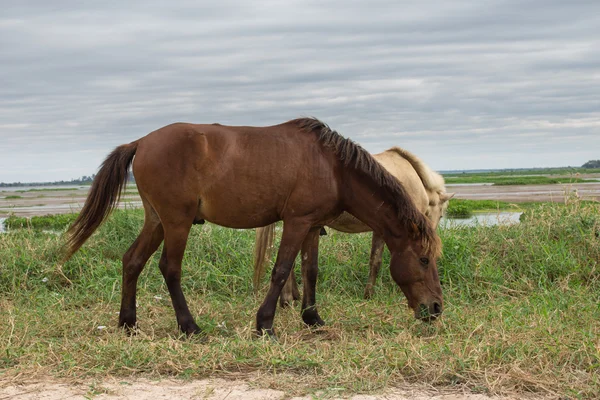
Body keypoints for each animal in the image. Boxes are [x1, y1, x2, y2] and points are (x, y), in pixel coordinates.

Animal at [64, 117, 440, 336]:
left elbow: (311, 270)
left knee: (133, 261)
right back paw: (189, 326)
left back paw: (128, 322)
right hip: (176, 222)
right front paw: (265, 325)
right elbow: (282, 270)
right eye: (424, 259)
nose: (436, 309)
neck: (334, 167)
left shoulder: (312, 225)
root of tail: (141, 142)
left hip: (156, 220)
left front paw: (313, 318)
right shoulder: (296, 222)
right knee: (169, 268)